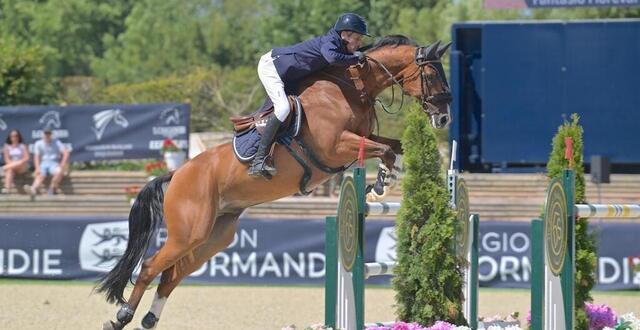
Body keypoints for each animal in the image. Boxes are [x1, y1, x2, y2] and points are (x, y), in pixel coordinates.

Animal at [97, 36, 452, 330]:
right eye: (432, 75)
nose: (444, 117)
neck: (352, 89)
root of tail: (178, 173)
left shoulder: (360, 140)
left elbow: (394, 146)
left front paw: (383, 180)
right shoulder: (336, 146)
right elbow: (385, 150)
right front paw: (382, 181)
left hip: (213, 236)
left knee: (172, 274)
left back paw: (150, 319)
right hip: (189, 231)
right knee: (150, 267)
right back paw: (121, 317)